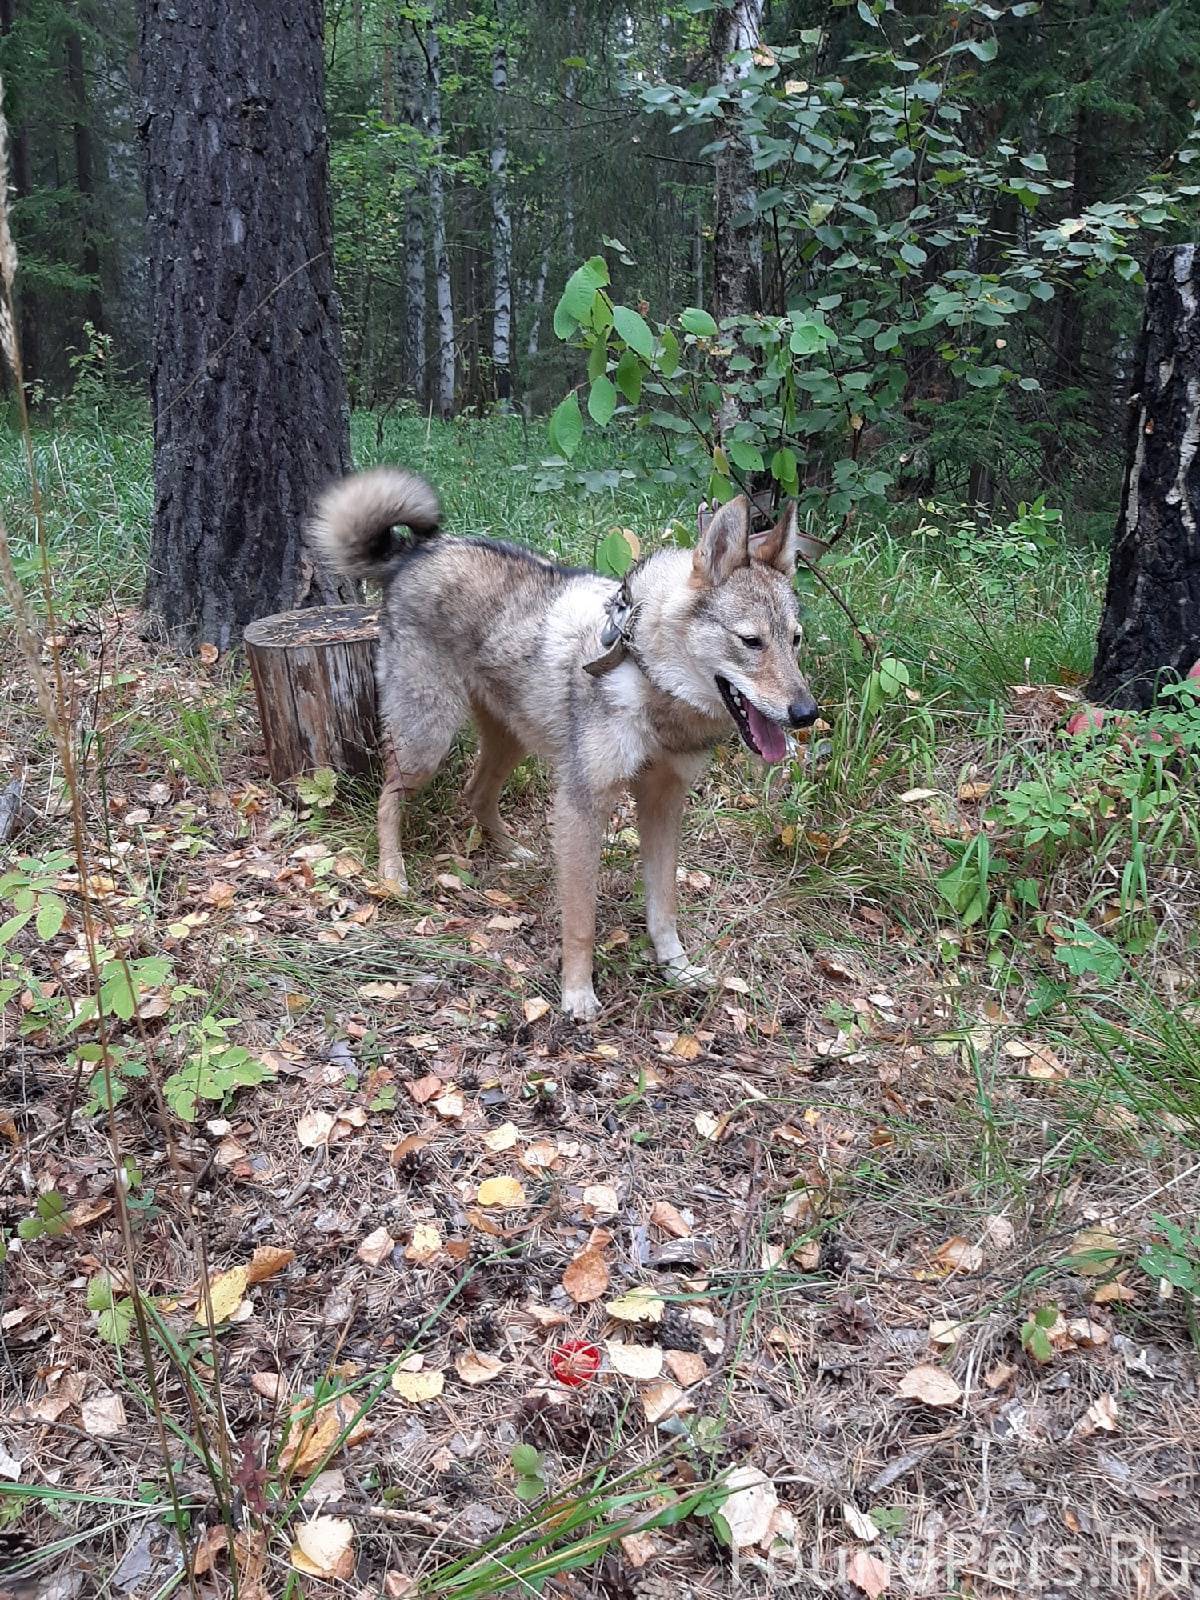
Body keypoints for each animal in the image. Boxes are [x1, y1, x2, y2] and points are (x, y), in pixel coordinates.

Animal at [305, 467, 825, 1017]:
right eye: (751, 642)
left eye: (794, 640)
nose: (806, 714)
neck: (647, 678)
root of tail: (414, 553)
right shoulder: (582, 804)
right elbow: (581, 921)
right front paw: (577, 993)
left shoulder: (663, 803)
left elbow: (663, 906)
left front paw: (678, 970)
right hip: (428, 743)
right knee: (388, 801)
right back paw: (392, 875)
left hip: (511, 743)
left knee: (474, 793)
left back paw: (513, 851)